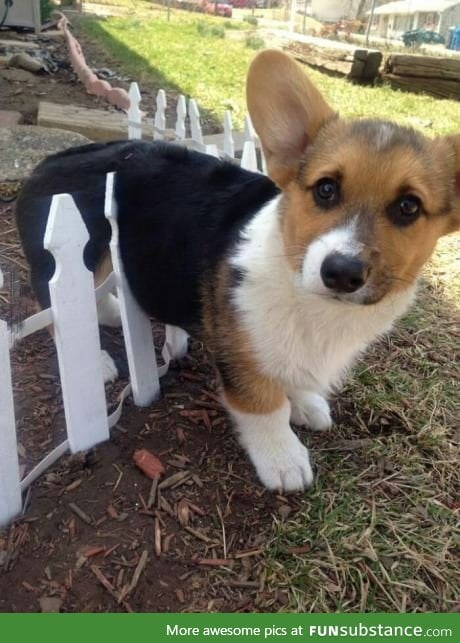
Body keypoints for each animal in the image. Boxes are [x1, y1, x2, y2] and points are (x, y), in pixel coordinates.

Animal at [16, 51, 460, 494]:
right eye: (326, 189)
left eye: (409, 207)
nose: (341, 273)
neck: (308, 297)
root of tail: (46, 163)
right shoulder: (241, 355)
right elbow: (265, 404)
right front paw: (283, 458)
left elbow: (291, 376)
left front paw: (305, 404)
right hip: (81, 259)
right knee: (55, 309)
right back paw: (99, 360)